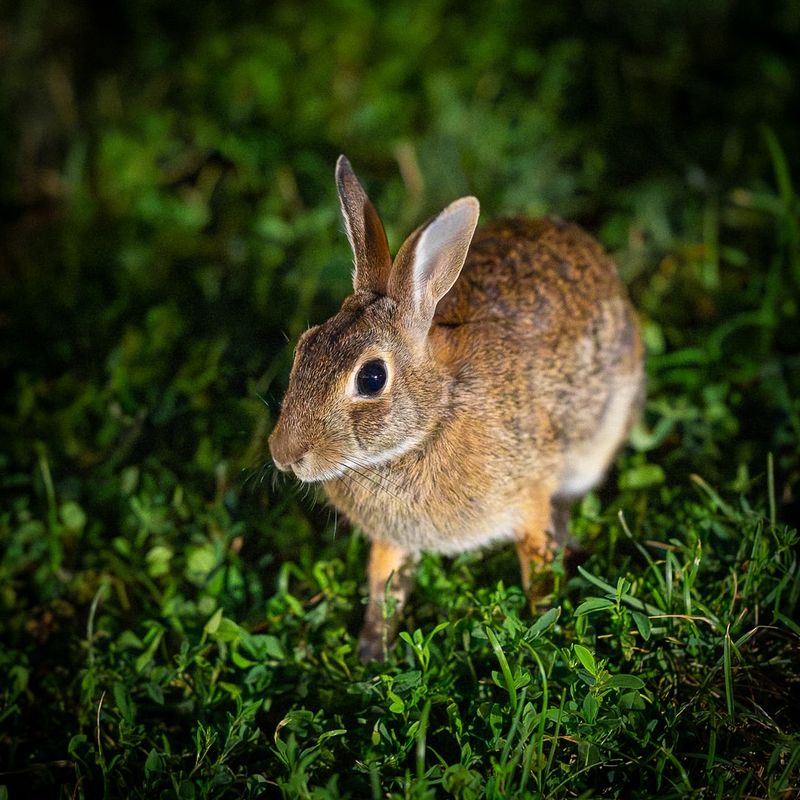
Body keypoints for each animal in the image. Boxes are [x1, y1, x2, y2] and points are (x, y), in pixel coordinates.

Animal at [269, 156, 644, 662]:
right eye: (304, 348)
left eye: (371, 378)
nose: (284, 454)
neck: (434, 417)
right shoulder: (391, 541)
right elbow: (383, 584)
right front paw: (372, 652)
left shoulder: (527, 496)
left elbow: (536, 560)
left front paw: (542, 623)